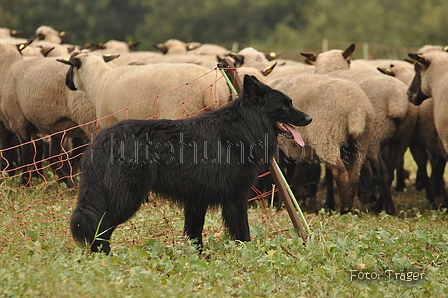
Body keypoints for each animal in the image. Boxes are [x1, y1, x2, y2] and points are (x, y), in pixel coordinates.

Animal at [70, 74, 312, 251]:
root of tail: (102, 138)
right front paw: (248, 252)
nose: (309, 118)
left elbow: (195, 234)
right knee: (101, 228)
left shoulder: (196, 199)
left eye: (290, 103)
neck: (243, 125)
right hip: (128, 197)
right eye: (284, 106)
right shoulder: (236, 196)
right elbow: (242, 230)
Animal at [270, 74, 374, 214]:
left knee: (340, 171)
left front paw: (283, 204)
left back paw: (345, 207)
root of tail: (356, 111)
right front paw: (305, 197)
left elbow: (282, 176)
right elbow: (297, 176)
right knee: (354, 172)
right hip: (361, 141)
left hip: (327, 135)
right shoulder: (306, 151)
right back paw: (349, 204)